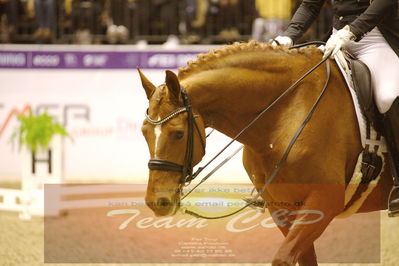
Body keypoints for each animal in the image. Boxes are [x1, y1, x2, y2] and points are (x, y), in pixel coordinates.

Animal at [138, 41, 394, 264]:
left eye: (178, 134)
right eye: (144, 132)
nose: (156, 202)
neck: (287, 111)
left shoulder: (325, 201)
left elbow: (282, 258)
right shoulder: (281, 207)